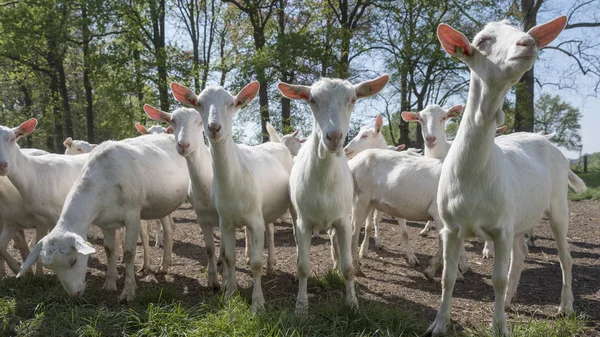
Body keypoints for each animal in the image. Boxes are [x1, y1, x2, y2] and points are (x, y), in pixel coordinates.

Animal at [19, 133, 188, 300]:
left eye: (73, 261)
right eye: (51, 268)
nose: (75, 294)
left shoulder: (132, 214)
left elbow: (129, 253)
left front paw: (128, 291)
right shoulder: (106, 222)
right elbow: (109, 250)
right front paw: (109, 285)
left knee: (168, 229)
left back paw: (164, 267)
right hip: (162, 204)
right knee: (169, 227)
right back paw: (163, 265)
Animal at [169, 80, 292, 310]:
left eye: (232, 103)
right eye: (199, 103)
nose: (214, 127)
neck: (235, 180)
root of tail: (276, 143)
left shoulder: (254, 219)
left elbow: (256, 263)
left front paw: (258, 303)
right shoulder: (225, 220)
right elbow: (229, 257)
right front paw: (229, 295)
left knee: (274, 233)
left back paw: (273, 265)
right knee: (270, 228)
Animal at [278, 73, 390, 312]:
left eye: (353, 99)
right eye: (312, 100)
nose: (334, 136)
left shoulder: (343, 221)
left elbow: (348, 266)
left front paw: (352, 302)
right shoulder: (303, 222)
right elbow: (304, 266)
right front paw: (301, 306)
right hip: (294, 213)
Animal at [422, 15, 580, 336]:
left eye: (525, 31)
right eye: (482, 41)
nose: (528, 43)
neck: (472, 176)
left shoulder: (500, 228)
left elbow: (498, 278)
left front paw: (499, 327)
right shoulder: (451, 227)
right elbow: (447, 277)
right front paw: (438, 324)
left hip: (558, 206)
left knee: (564, 257)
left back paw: (565, 306)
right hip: (518, 216)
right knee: (520, 255)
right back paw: (508, 301)